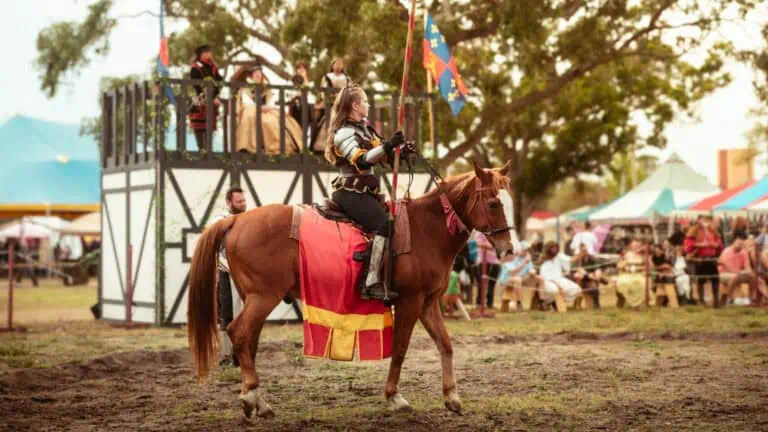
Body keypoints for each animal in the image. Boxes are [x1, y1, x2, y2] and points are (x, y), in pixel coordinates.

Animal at [187, 161, 521, 418]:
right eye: (493, 203)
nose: (508, 250)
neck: (427, 229)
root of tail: (236, 219)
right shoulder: (410, 301)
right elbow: (400, 348)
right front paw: (394, 397)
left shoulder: (428, 303)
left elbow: (446, 345)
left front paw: (452, 397)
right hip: (263, 297)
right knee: (239, 333)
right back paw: (251, 399)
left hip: (254, 298)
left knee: (248, 340)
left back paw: (257, 402)